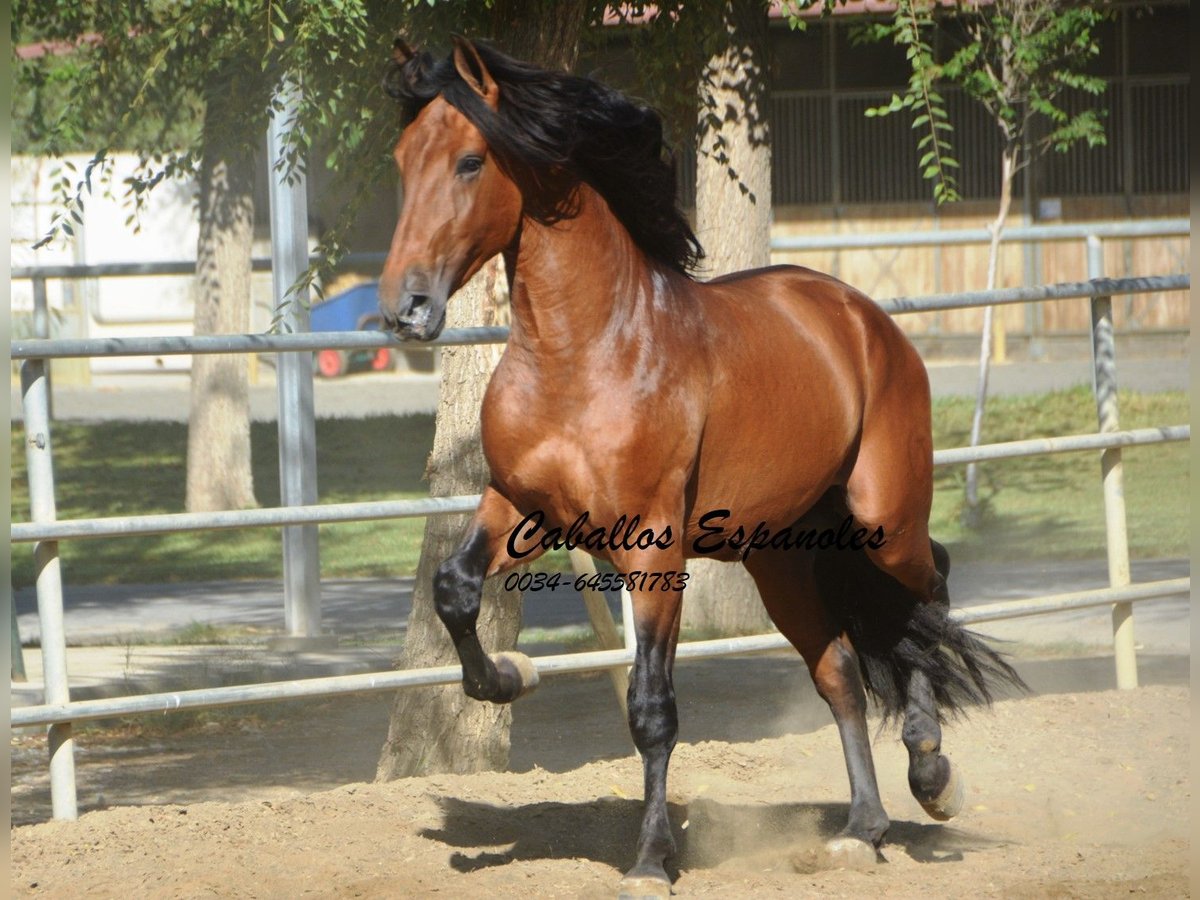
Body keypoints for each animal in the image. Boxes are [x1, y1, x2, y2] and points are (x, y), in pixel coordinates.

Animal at [376, 35, 1022, 897]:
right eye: (401, 159)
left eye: (471, 161)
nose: (404, 309)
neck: (587, 352)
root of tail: (863, 319)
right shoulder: (518, 504)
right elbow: (453, 589)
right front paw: (512, 675)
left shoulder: (655, 548)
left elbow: (653, 708)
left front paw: (652, 860)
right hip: (783, 558)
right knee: (842, 671)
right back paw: (862, 829)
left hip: (884, 518)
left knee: (929, 594)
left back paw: (932, 774)